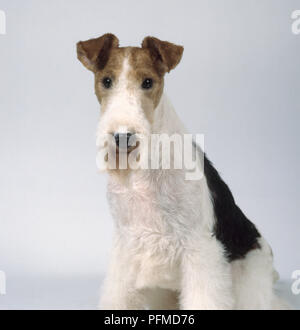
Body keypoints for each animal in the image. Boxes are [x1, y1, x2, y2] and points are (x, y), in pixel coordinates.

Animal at [77, 33, 288, 310]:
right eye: (107, 81)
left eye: (147, 82)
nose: (123, 137)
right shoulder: (125, 242)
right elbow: (118, 293)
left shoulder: (200, 247)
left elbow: (204, 296)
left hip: (250, 272)